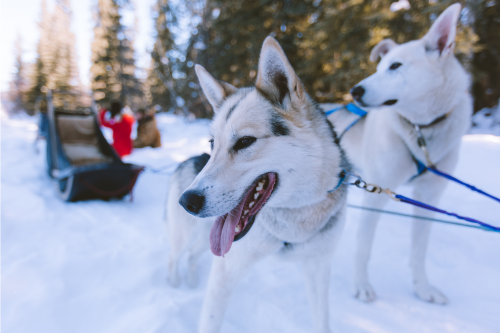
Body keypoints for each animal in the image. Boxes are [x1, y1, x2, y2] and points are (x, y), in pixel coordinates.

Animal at [177, 37, 352, 332]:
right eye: (213, 143)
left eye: (245, 141)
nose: (187, 201)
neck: (293, 222)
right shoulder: (226, 270)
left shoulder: (318, 266)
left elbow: (322, 321)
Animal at [328, 3, 472, 304]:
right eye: (379, 67)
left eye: (396, 66)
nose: (355, 91)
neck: (420, 132)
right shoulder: (377, 192)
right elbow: (364, 247)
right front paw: (361, 285)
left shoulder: (428, 198)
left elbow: (419, 251)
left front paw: (423, 288)